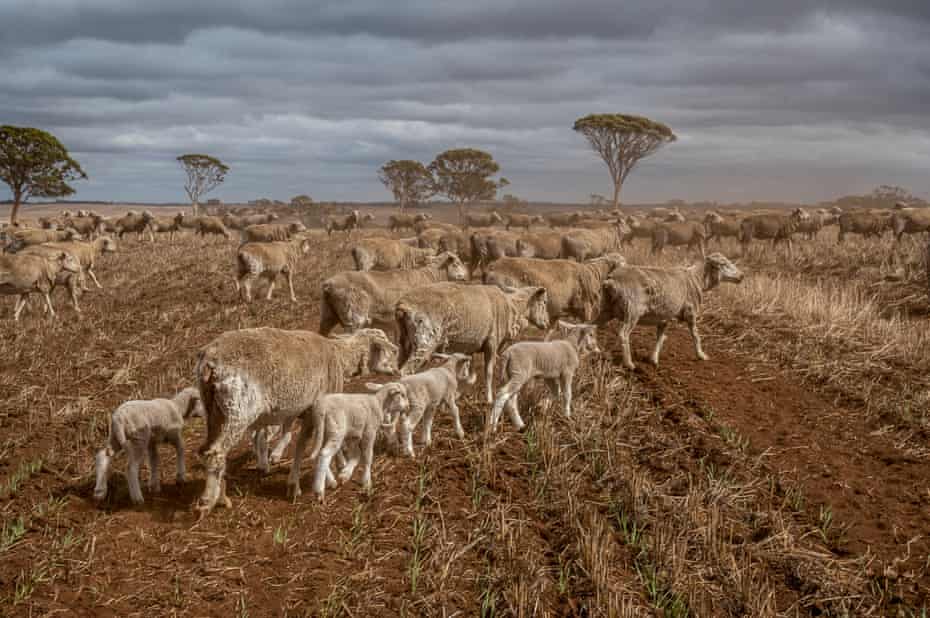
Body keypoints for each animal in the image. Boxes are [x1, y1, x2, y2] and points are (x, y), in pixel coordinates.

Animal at [194, 327, 399, 515]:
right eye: (388, 349)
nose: (397, 369)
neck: (340, 357)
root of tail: (210, 359)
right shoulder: (316, 410)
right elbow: (304, 446)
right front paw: (301, 484)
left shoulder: (305, 413)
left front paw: (338, 469)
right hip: (238, 409)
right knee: (217, 453)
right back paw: (209, 500)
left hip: (214, 410)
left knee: (206, 450)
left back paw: (219, 494)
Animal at [320, 252, 469, 335]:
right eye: (456, 263)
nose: (467, 276)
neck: (431, 277)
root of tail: (329, 284)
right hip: (355, 318)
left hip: (328, 315)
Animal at [395, 283, 550, 403]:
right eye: (543, 302)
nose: (547, 323)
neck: (513, 308)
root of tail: (402, 306)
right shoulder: (491, 342)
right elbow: (488, 373)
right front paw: (489, 399)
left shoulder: (471, 348)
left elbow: (470, 377)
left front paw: (458, 394)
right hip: (424, 341)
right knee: (405, 372)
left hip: (405, 343)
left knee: (398, 370)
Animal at [600, 253, 744, 370]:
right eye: (723, 264)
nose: (742, 276)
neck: (697, 279)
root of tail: (612, 280)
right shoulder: (691, 312)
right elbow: (696, 335)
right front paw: (701, 355)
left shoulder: (665, 316)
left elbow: (660, 337)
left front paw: (654, 359)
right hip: (632, 310)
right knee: (623, 334)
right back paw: (629, 364)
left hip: (607, 308)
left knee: (594, 325)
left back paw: (598, 352)